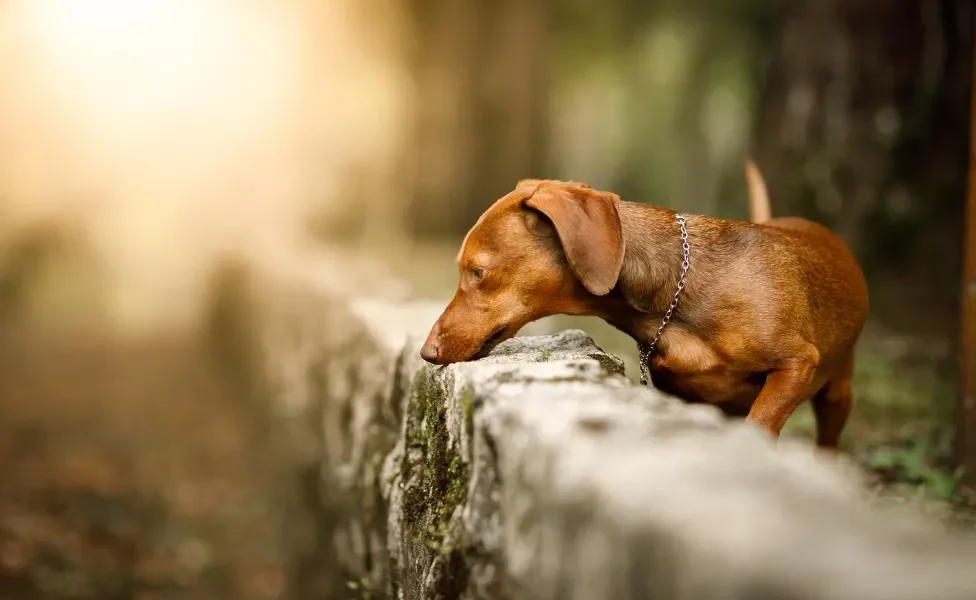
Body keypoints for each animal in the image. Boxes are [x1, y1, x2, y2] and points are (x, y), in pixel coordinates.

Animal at [420, 161, 868, 446]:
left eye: (477, 271)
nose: (427, 352)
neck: (678, 298)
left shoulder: (796, 364)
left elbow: (761, 421)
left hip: (837, 392)